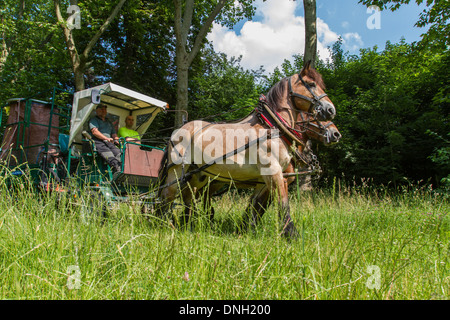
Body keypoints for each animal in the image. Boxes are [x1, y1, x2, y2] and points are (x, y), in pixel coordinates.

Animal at [158, 62, 338, 238]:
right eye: (311, 84)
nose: (331, 110)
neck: (272, 127)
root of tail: (178, 130)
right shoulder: (273, 171)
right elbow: (282, 203)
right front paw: (291, 235)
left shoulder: (267, 179)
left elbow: (256, 205)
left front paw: (247, 229)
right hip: (176, 171)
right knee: (168, 195)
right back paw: (165, 225)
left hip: (198, 176)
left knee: (188, 197)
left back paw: (188, 224)